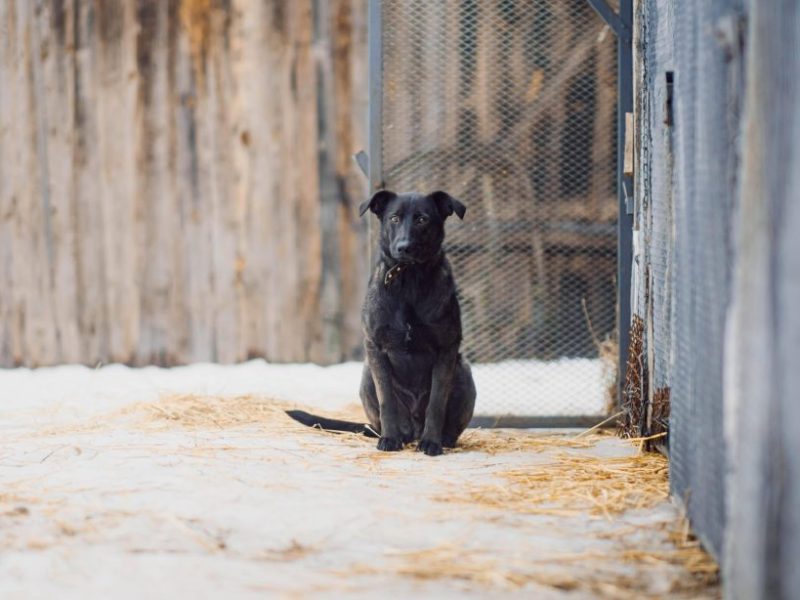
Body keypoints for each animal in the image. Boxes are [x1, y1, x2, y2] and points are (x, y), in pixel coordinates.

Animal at [288, 190, 476, 458]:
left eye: (422, 219)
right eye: (394, 218)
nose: (404, 247)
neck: (409, 279)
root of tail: (413, 428)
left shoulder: (446, 349)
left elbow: (437, 401)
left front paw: (431, 442)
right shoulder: (375, 347)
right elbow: (386, 399)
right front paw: (390, 439)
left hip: (463, 372)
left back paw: (441, 439)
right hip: (367, 374)